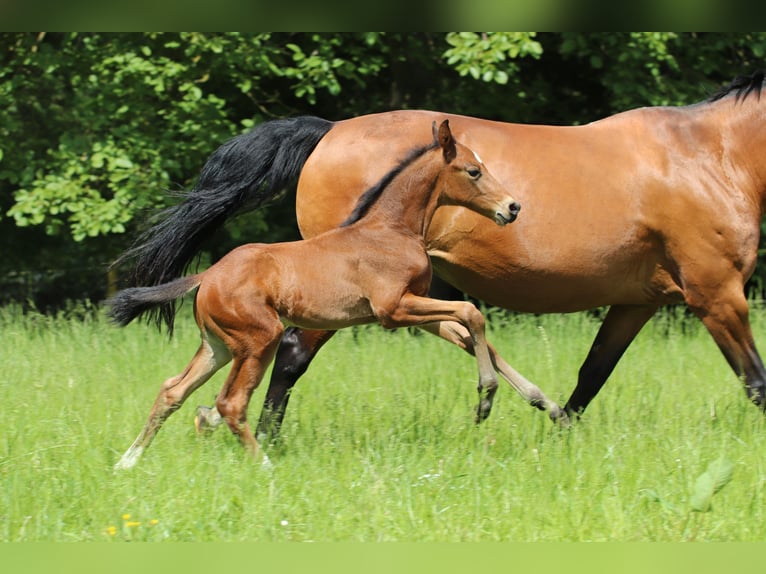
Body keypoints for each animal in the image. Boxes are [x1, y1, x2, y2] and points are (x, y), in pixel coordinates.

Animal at [109, 119, 564, 470]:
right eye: (473, 171)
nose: (512, 207)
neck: (389, 229)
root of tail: (208, 274)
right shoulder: (393, 310)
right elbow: (472, 313)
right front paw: (485, 399)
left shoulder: (415, 310)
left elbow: (468, 333)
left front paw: (542, 403)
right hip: (259, 340)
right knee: (230, 403)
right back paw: (265, 466)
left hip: (216, 347)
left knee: (172, 390)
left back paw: (127, 461)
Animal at [117, 72, 766, 440]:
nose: (513, 206)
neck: (710, 156)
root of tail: (328, 130)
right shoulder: (718, 295)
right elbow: (756, 382)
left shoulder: (639, 302)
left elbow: (593, 374)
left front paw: (561, 431)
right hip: (339, 298)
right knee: (293, 354)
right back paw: (265, 440)